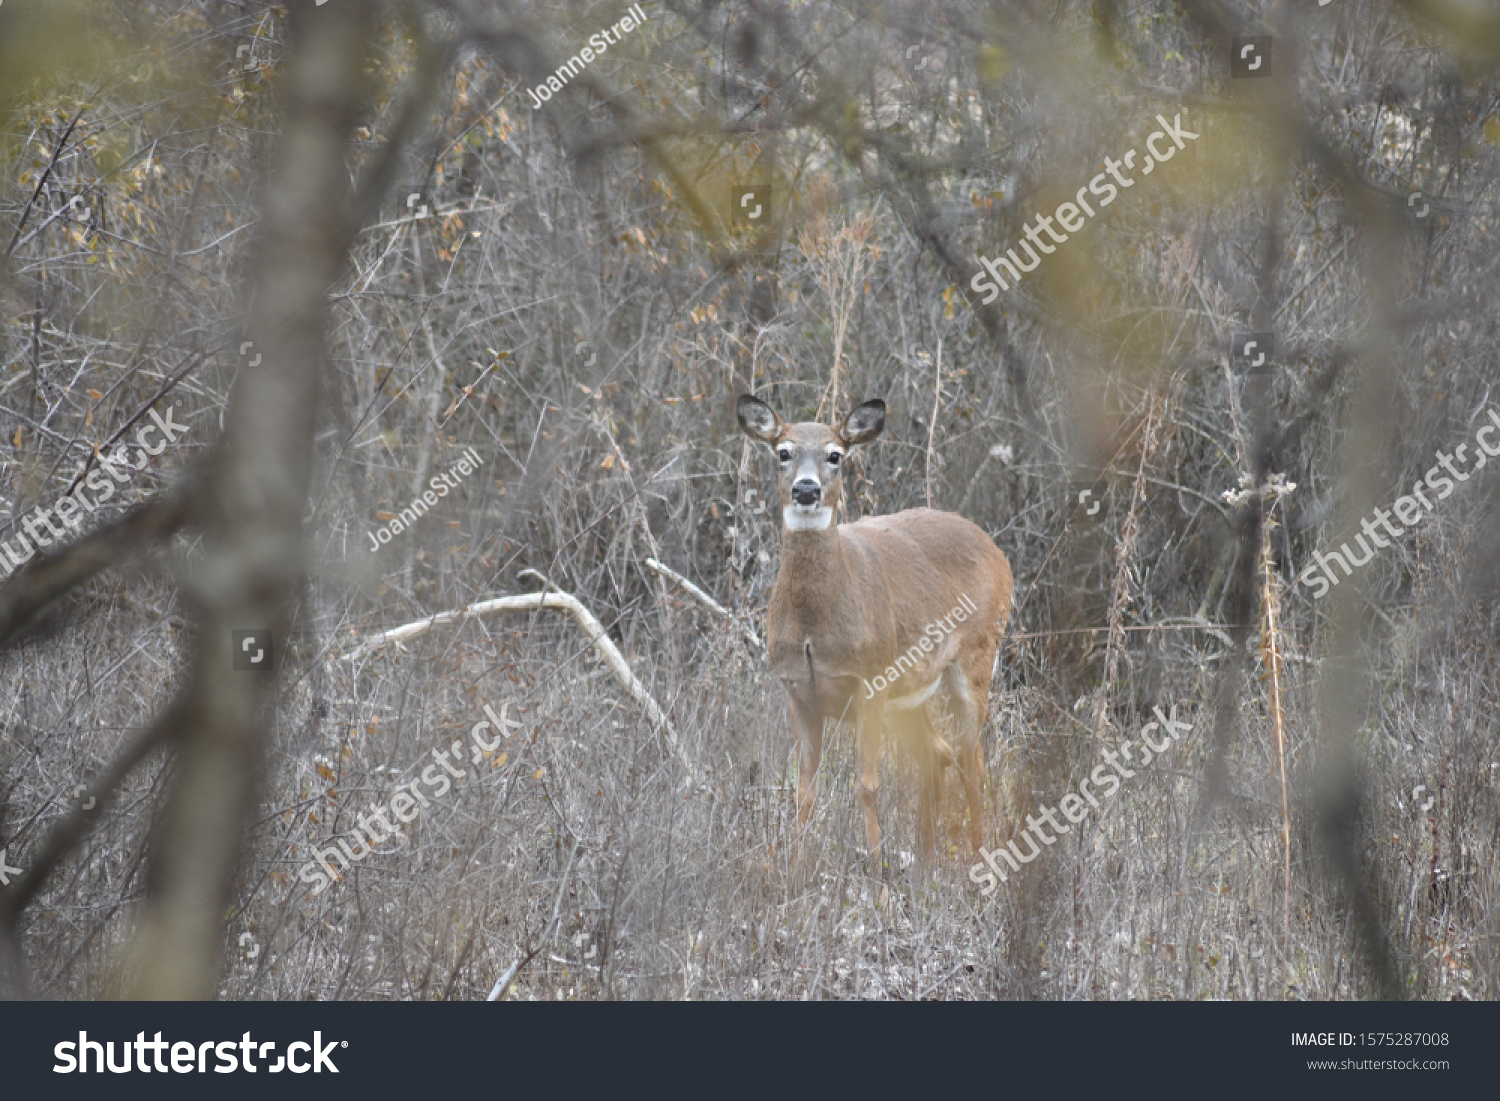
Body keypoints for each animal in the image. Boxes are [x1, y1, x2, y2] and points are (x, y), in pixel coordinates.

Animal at [735, 396, 1008, 864]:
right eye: (783, 451)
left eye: (835, 455)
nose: (806, 490)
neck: (814, 631)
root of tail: (996, 551)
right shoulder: (796, 690)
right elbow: (803, 794)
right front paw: (794, 873)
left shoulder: (871, 682)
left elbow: (866, 786)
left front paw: (877, 875)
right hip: (913, 693)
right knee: (938, 753)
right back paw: (926, 865)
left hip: (977, 656)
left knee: (972, 763)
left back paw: (977, 862)